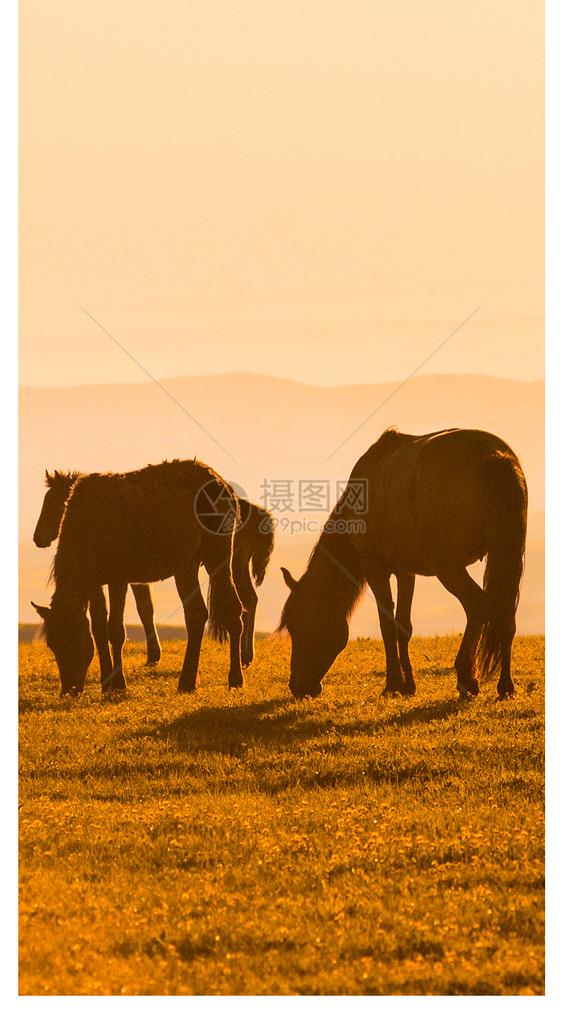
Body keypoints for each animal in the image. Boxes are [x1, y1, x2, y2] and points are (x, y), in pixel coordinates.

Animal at [31, 460, 246, 697]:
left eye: (74, 640)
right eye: (52, 645)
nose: (69, 690)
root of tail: (225, 485)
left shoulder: (118, 578)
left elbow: (115, 630)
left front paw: (119, 683)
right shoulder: (95, 583)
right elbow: (99, 629)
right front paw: (105, 683)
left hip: (218, 554)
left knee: (233, 611)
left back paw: (235, 679)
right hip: (186, 566)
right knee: (196, 615)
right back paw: (187, 681)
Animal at [277, 423, 527, 701]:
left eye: (298, 625)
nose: (297, 687)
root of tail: (493, 456)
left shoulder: (375, 568)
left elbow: (387, 624)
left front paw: (393, 683)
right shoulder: (406, 571)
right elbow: (403, 625)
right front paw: (408, 685)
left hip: (448, 566)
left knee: (476, 606)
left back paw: (466, 677)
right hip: (506, 556)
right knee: (505, 613)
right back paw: (505, 685)